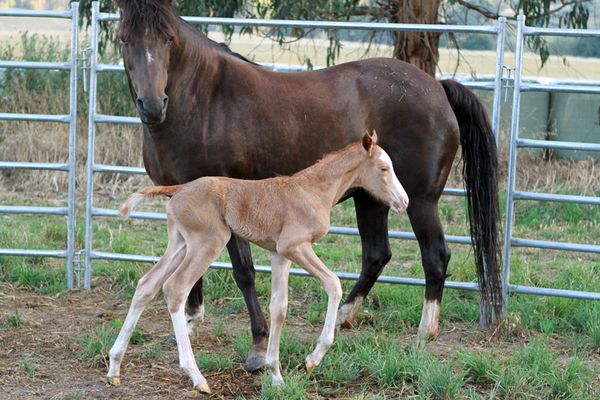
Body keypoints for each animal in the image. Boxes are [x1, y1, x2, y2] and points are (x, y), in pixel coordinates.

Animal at [107, 133, 410, 392]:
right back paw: (196, 376)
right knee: (175, 288)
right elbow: (333, 284)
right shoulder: (295, 246)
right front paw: (312, 359)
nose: (404, 201)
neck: (314, 190)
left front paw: (275, 374)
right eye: (384, 168)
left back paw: (114, 368)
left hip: (180, 243)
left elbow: (279, 307)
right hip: (208, 241)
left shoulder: (280, 254)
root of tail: (180, 188)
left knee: (147, 284)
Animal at [117, 0, 502, 371]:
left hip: (419, 200)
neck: (204, 100)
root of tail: (438, 87)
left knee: (435, 256)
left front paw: (258, 347)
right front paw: (190, 321)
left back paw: (422, 336)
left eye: (168, 38)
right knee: (377, 255)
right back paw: (344, 318)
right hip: (371, 199)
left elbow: (244, 272)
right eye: (124, 39)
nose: (152, 105)